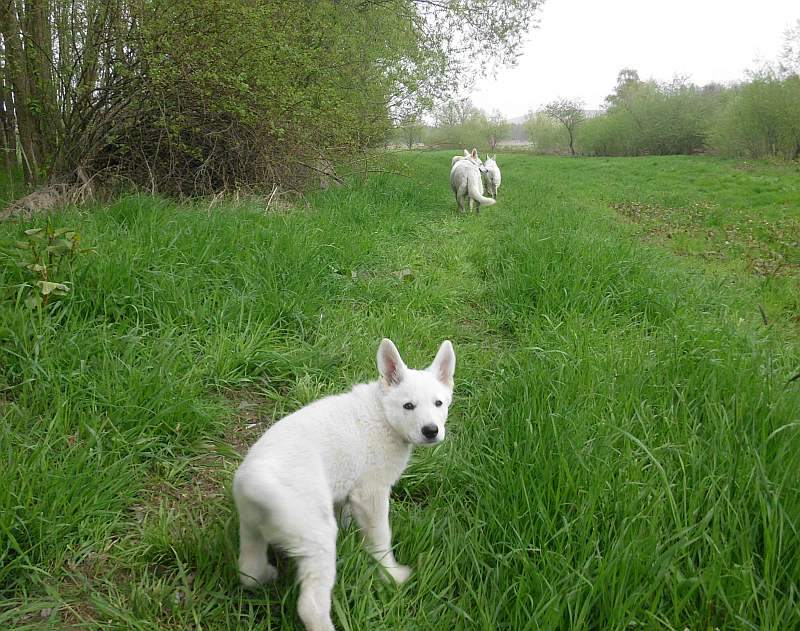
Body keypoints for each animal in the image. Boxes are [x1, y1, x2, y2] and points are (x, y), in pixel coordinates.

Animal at [233, 340, 456, 631]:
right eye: (408, 406)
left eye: (439, 403)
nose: (431, 431)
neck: (382, 413)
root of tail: (253, 482)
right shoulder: (371, 493)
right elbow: (380, 537)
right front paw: (391, 574)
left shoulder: (346, 489)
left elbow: (347, 514)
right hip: (317, 536)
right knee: (310, 605)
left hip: (251, 527)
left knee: (248, 570)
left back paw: (265, 576)